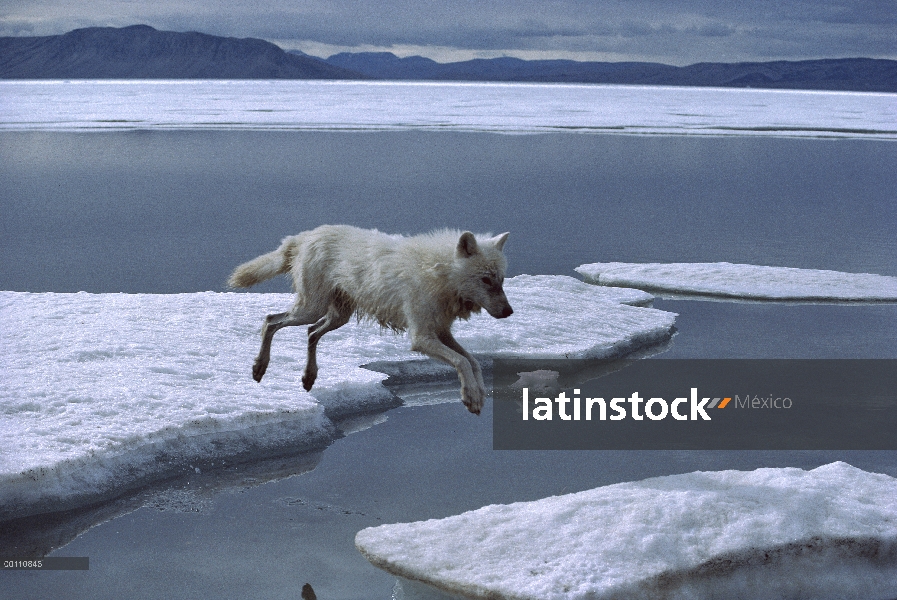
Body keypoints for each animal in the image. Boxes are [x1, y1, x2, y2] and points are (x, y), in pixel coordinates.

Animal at [228, 224, 516, 412]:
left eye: (501, 280)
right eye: (486, 280)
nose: (508, 312)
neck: (437, 272)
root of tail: (304, 235)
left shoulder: (442, 332)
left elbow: (473, 361)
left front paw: (478, 395)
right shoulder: (421, 338)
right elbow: (462, 362)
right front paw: (471, 397)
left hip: (337, 317)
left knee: (310, 332)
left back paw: (309, 377)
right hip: (311, 309)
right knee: (270, 320)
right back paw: (259, 367)